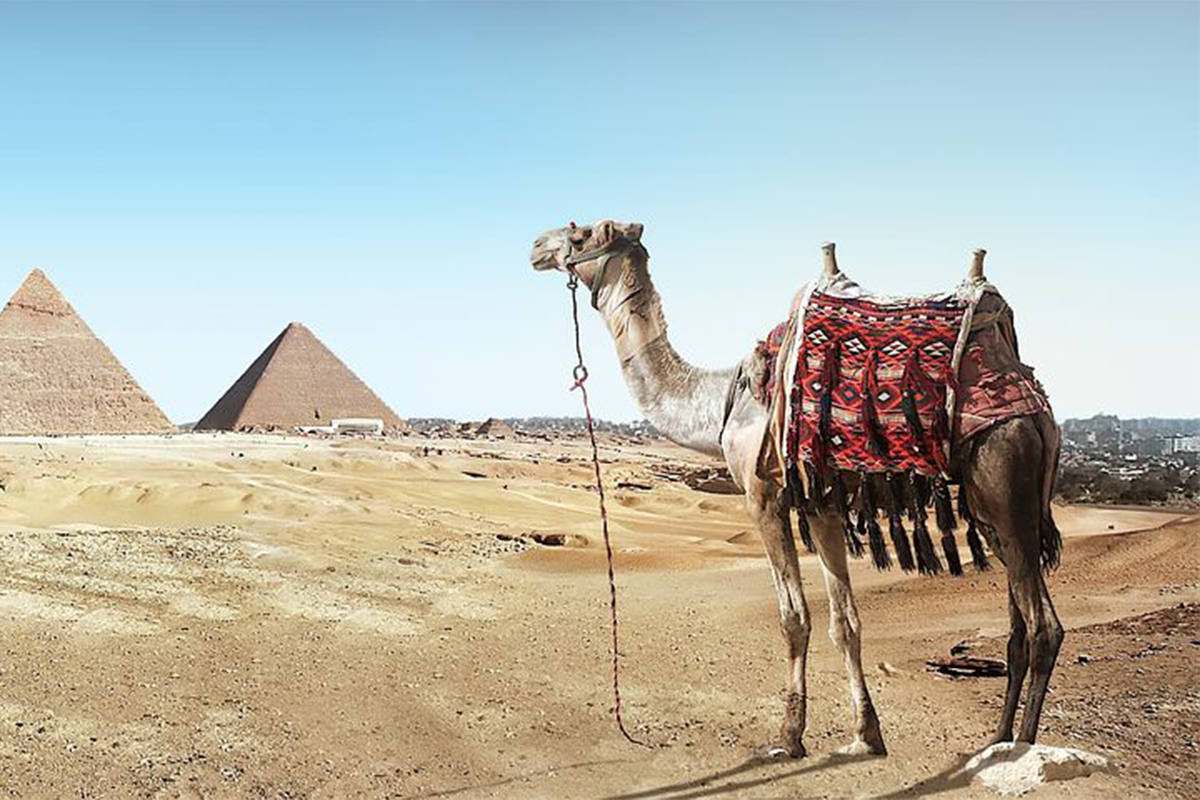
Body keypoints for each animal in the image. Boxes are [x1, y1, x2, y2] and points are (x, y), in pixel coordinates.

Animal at [531, 219, 1063, 759]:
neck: (720, 401)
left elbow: (794, 618)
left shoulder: (762, 495)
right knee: (1019, 628)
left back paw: (1023, 747)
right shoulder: (820, 504)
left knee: (1043, 627)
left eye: (580, 234)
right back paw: (995, 741)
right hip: (994, 510)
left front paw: (789, 737)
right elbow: (845, 623)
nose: (536, 247)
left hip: (1004, 473)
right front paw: (866, 734)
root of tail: (1035, 409)